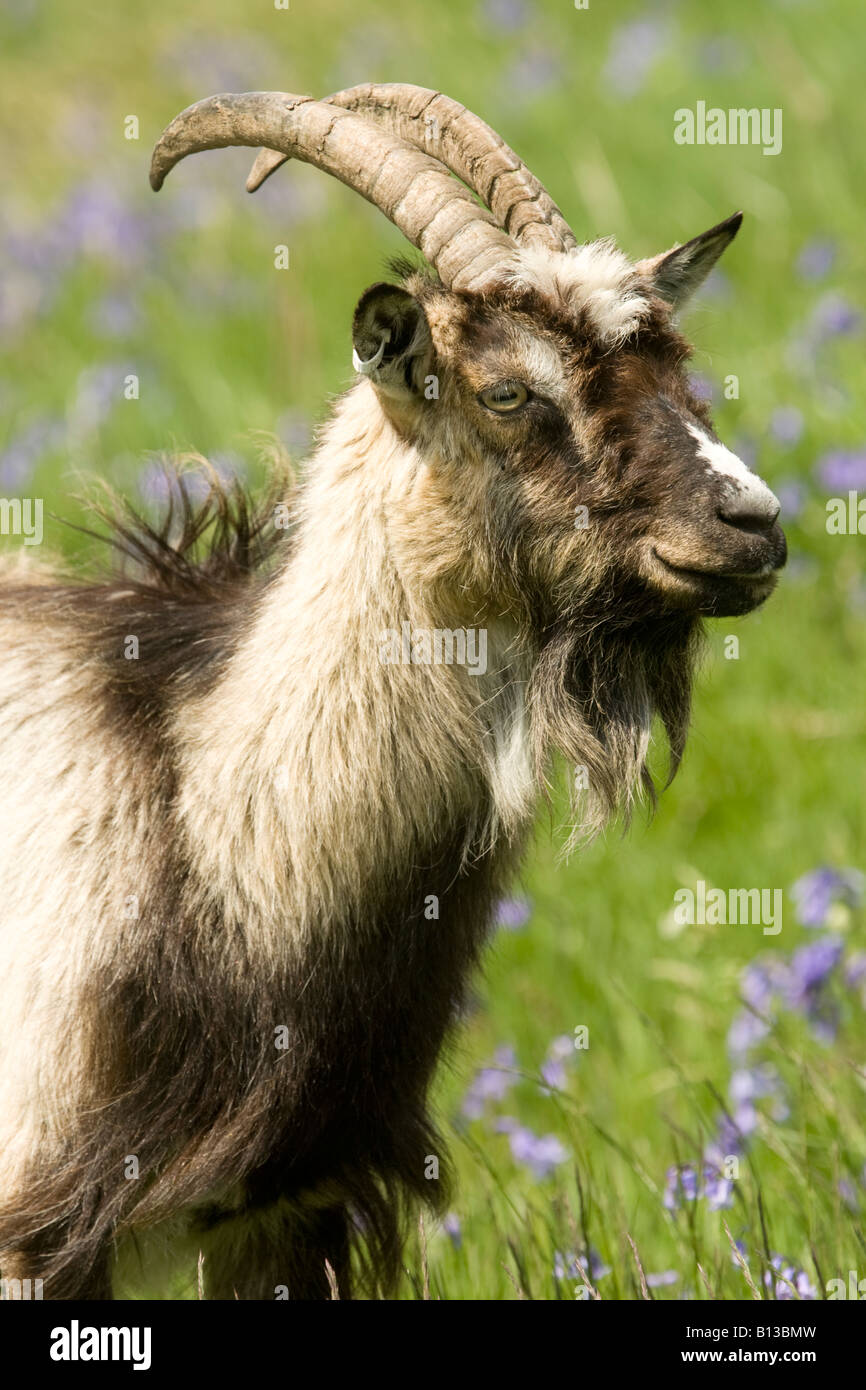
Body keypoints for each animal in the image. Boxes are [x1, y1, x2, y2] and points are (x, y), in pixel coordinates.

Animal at [0, 84, 783, 1301]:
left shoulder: (287, 1205)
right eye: (507, 392)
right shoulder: (34, 1217)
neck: (205, 817)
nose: (752, 524)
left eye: (680, 376)